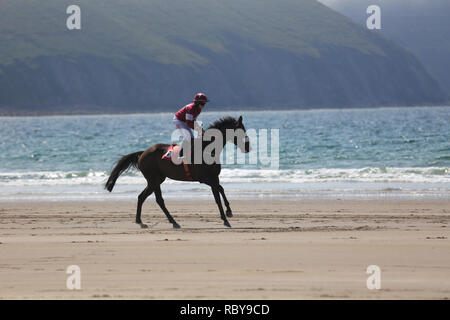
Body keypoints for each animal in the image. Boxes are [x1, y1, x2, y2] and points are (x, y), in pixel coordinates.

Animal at [104, 116, 250, 229]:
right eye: (241, 131)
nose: (248, 147)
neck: (208, 149)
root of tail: (142, 153)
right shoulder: (205, 178)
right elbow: (219, 193)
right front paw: (227, 216)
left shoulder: (214, 177)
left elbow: (219, 193)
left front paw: (227, 215)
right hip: (153, 179)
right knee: (159, 200)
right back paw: (173, 222)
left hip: (156, 180)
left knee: (141, 197)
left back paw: (141, 222)